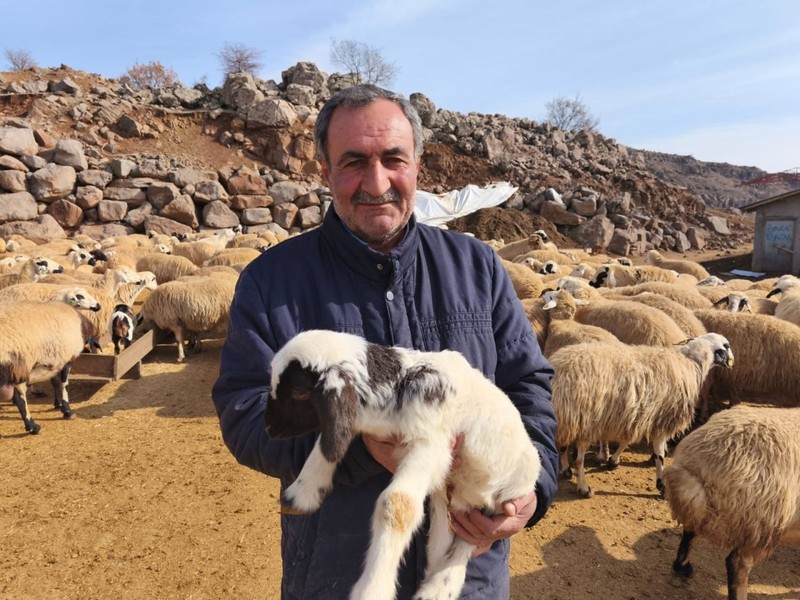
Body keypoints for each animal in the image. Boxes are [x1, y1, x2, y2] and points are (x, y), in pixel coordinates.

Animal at [0, 290, 104, 434]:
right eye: (80, 296)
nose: (98, 306)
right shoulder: (67, 359)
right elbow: (64, 384)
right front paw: (67, 411)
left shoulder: (55, 360)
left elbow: (54, 382)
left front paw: (58, 403)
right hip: (18, 365)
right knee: (19, 399)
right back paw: (32, 426)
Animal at [266, 328, 540, 600]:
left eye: (299, 391)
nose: (269, 428)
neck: (401, 382)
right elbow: (326, 445)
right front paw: (300, 494)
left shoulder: (432, 445)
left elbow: (398, 504)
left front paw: (372, 589)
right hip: (448, 502)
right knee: (442, 542)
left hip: (497, 505)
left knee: (467, 543)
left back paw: (438, 589)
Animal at [552, 332, 732, 496]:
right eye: (726, 346)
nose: (731, 364)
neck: (691, 363)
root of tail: (558, 373)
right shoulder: (662, 420)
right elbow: (660, 454)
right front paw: (661, 485)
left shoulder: (635, 414)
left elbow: (626, 440)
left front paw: (613, 461)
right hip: (585, 420)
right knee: (578, 459)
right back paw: (583, 487)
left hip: (570, 419)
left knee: (563, 445)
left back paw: (566, 470)